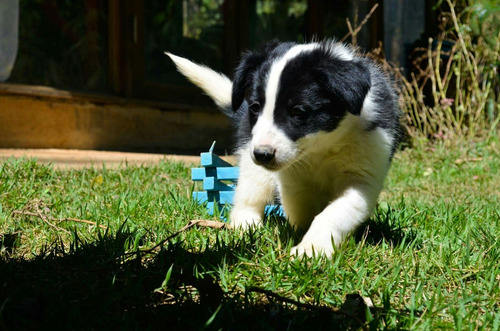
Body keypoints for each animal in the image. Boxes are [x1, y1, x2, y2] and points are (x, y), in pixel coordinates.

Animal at [166, 39, 400, 256]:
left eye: (299, 112)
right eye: (255, 107)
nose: (262, 154)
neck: (322, 148)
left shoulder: (361, 177)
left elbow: (333, 213)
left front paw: (311, 248)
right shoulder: (292, 178)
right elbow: (300, 210)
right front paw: (302, 237)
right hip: (253, 164)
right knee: (249, 193)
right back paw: (247, 226)